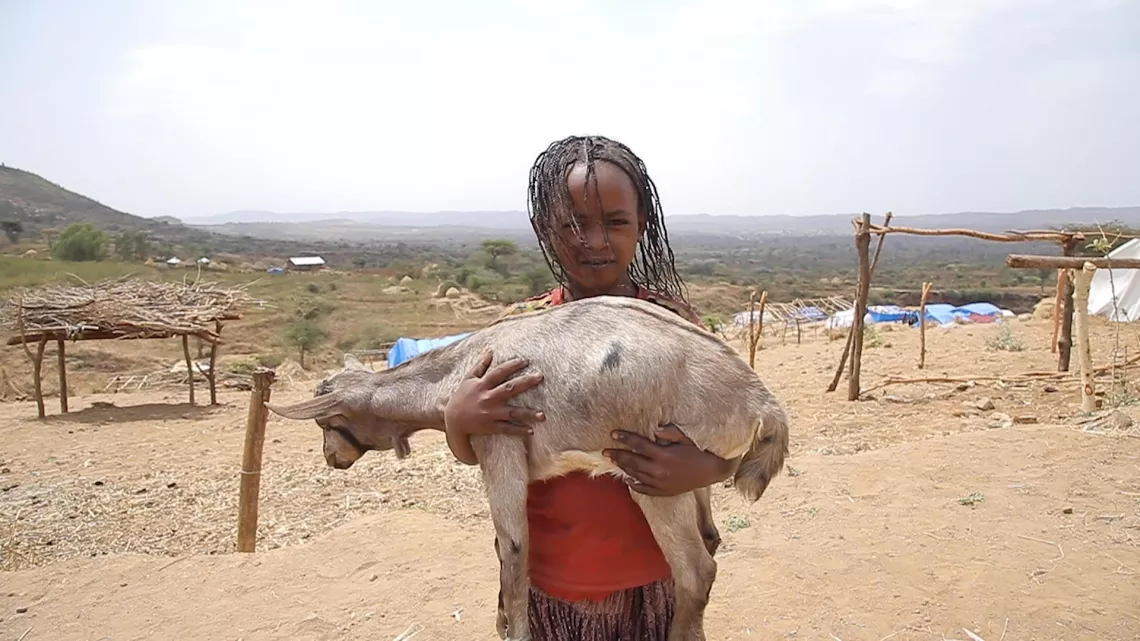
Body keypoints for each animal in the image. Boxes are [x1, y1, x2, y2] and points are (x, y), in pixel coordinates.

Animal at [267, 295, 791, 641]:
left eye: (330, 422)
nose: (332, 458)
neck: (461, 370)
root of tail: (761, 403)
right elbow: (503, 549)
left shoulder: (499, 440)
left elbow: (515, 550)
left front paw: (512, 627)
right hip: (692, 475)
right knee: (711, 540)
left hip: (654, 472)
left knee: (697, 570)